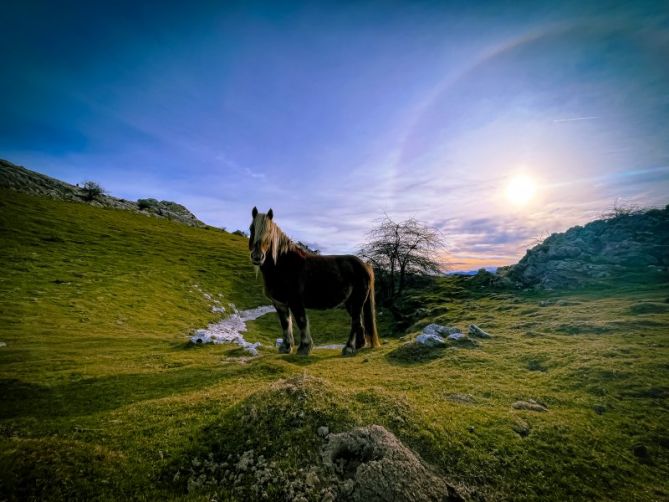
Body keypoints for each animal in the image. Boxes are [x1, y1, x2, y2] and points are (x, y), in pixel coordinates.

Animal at [248, 206, 378, 354]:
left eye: (269, 231)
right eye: (251, 228)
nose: (257, 257)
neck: (284, 265)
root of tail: (365, 265)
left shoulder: (296, 301)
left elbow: (301, 321)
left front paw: (304, 347)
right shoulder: (279, 304)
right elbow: (285, 323)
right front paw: (286, 347)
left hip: (356, 301)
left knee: (355, 321)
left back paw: (349, 348)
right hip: (350, 302)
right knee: (359, 322)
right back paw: (359, 345)